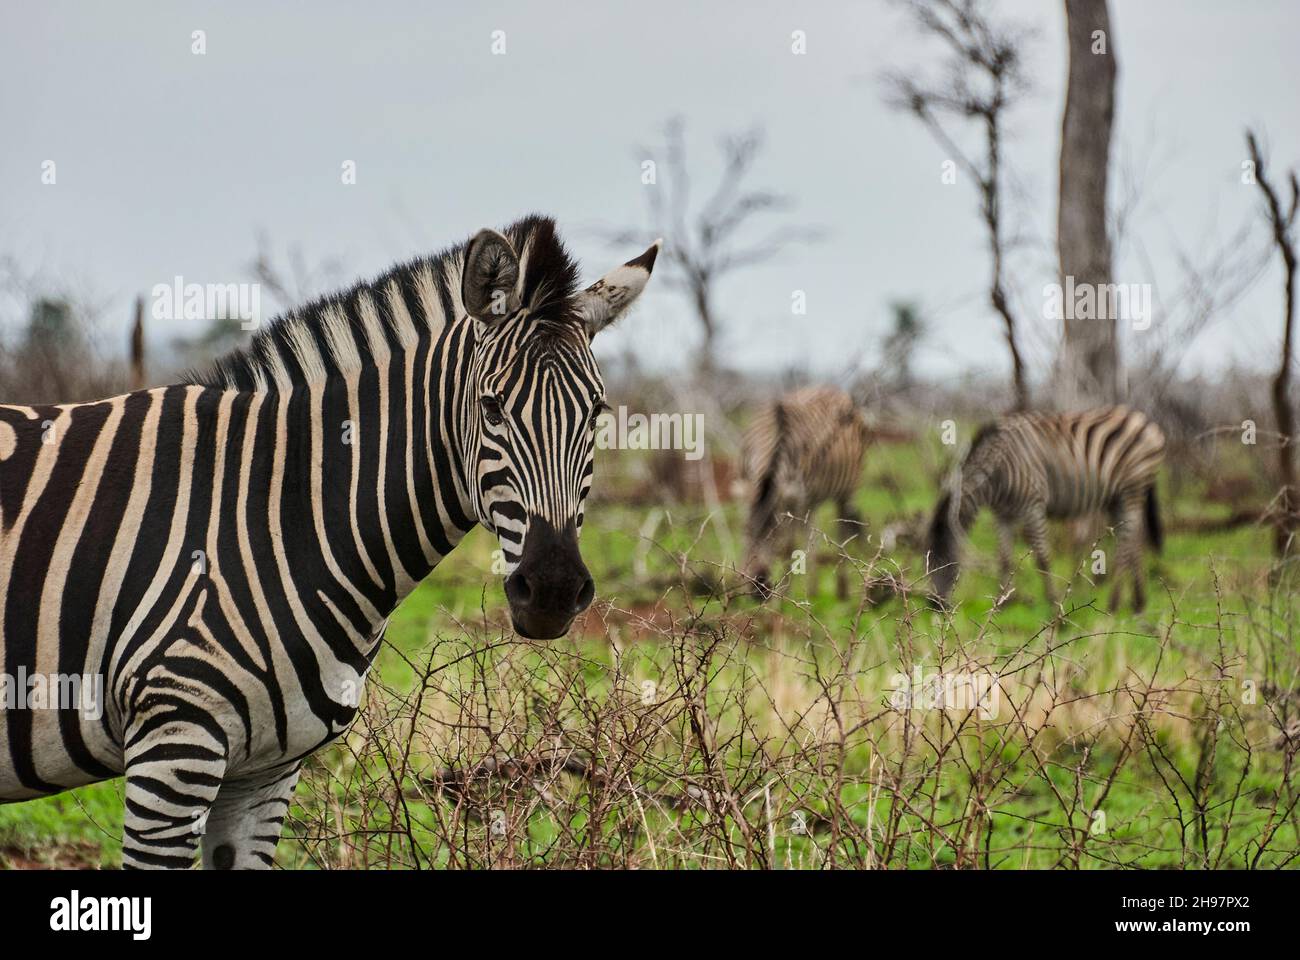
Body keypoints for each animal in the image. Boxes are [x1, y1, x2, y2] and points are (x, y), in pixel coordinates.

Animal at [0, 217, 660, 868]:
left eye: (596, 412)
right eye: (492, 408)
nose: (552, 591)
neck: (280, 514)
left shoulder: (265, 770)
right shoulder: (173, 745)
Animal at [743, 382, 873, 598]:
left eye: (773, 538)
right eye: (746, 534)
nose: (758, 590)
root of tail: (833, 389)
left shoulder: (796, 499)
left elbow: (788, 547)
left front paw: (784, 598)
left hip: (846, 489)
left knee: (842, 531)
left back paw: (841, 592)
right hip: (814, 499)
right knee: (813, 537)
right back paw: (812, 590)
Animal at [925, 400, 1170, 608]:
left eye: (946, 561)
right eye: (926, 562)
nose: (934, 605)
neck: (998, 477)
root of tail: (1143, 418)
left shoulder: (1033, 506)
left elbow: (1042, 558)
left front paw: (1054, 606)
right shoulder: (1003, 514)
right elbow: (1004, 558)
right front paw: (1001, 604)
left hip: (1133, 486)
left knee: (1126, 542)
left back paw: (1114, 603)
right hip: (1116, 497)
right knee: (1135, 538)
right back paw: (1138, 602)